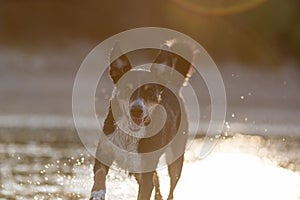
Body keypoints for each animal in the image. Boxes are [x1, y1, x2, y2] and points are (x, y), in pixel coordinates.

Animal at [90, 39, 196, 200]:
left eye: (150, 92)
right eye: (127, 89)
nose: (136, 110)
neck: (130, 134)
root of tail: (173, 84)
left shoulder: (145, 173)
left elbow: (145, 191)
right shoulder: (104, 152)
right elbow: (100, 174)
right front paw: (97, 192)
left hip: (175, 159)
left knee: (171, 188)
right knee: (156, 179)